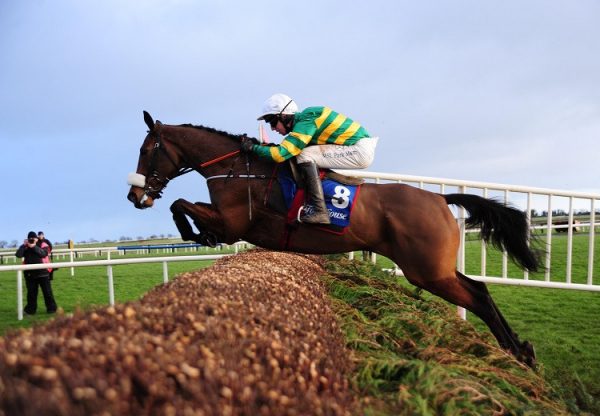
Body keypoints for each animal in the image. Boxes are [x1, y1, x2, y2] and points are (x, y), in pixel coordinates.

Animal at [125, 111, 540, 368]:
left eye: (146, 151)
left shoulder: (234, 225)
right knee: (480, 289)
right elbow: (182, 204)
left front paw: (194, 233)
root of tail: (440, 198)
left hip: (426, 271)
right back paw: (521, 350)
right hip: (434, 269)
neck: (236, 169)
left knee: (478, 297)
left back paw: (516, 352)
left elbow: (180, 205)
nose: (135, 195)